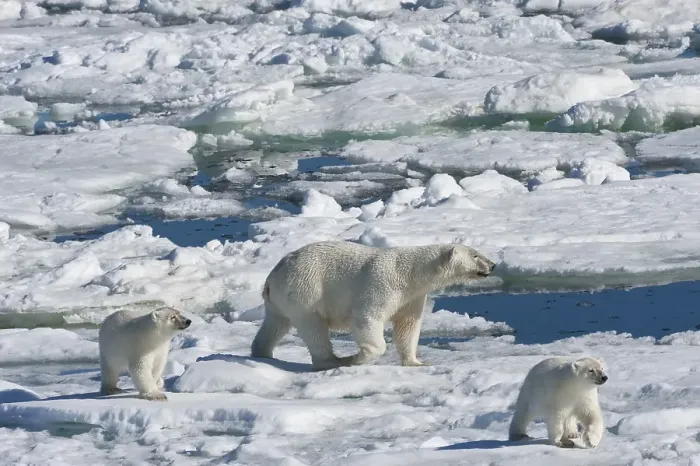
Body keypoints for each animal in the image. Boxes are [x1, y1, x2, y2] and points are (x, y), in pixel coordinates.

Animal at [251, 241, 496, 370]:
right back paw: (334, 360)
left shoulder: (411, 296)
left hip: (280, 299)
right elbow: (368, 318)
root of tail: (272, 277)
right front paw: (358, 357)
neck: (410, 273)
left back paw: (262, 352)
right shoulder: (383, 283)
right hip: (305, 290)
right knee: (313, 327)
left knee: (276, 323)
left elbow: (408, 326)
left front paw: (417, 362)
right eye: (475, 255)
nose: (493, 265)